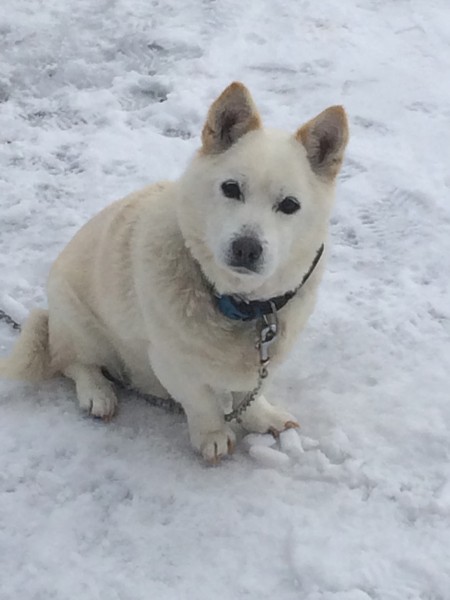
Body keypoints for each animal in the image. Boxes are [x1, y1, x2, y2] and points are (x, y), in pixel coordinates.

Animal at [0, 82, 348, 462]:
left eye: (289, 205)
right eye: (231, 188)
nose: (246, 247)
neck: (237, 303)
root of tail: (50, 316)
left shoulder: (265, 358)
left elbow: (250, 392)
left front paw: (260, 416)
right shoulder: (171, 361)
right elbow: (202, 402)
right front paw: (212, 435)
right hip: (80, 323)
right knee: (74, 363)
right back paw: (98, 393)